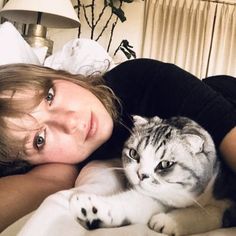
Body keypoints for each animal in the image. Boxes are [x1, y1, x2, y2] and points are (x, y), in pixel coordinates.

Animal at [69, 115, 235, 235]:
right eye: (134, 153)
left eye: (165, 164)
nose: (141, 175)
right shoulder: (155, 197)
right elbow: (131, 204)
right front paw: (90, 208)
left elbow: (208, 212)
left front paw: (168, 221)